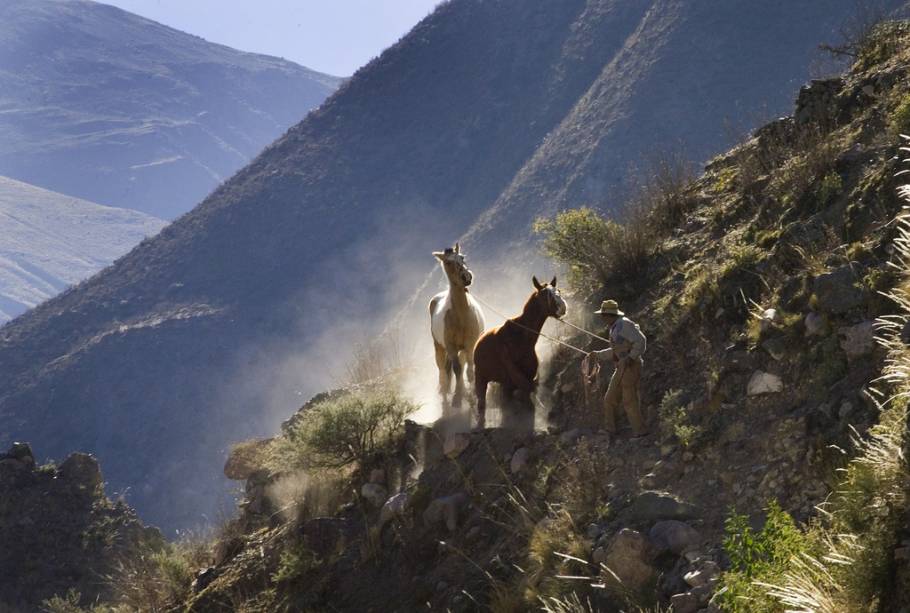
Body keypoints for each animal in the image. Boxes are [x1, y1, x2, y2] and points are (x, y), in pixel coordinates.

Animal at [432, 243, 488, 406]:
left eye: (462, 257)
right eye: (448, 262)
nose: (466, 277)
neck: (462, 316)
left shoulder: (470, 345)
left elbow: (469, 370)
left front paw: (472, 393)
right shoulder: (451, 347)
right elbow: (457, 370)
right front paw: (457, 398)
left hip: (462, 349)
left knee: (462, 366)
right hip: (440, 347)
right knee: (443, 370)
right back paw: (445, 392)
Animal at [474, 274, 568, 428]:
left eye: (558, 290)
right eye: (545, 294)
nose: (563, 307)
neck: (521, 338)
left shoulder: (527, 375)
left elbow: (528, 395)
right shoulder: (516, 376)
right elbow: (527, 392)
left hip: (503, 382)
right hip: (481, 377)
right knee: (482, 402)